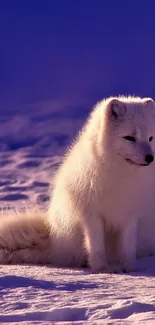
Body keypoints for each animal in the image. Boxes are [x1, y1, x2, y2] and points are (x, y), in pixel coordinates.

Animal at [0, 95, 155, 272]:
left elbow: (127, 248)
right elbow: (96, 247)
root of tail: (53, 239)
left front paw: (127, 269)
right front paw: (101, 270)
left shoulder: (130, 214)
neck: (121, 176)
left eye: (150, 138)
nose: (150, 158)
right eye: (129, 138)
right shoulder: (91, 214)